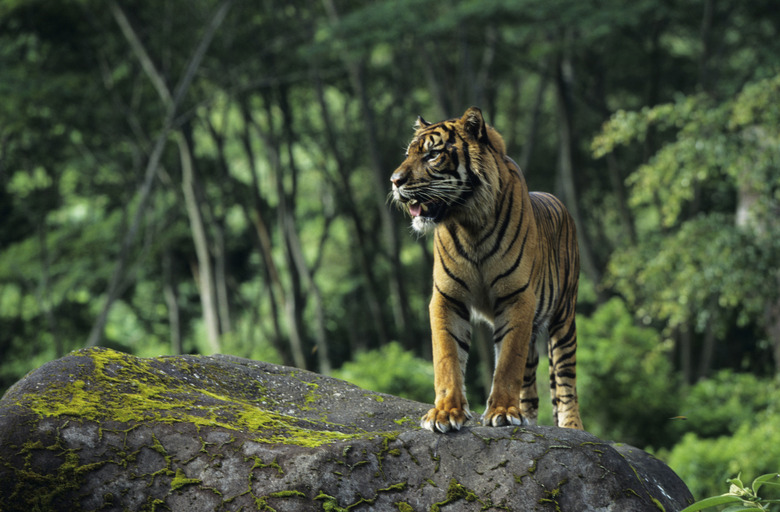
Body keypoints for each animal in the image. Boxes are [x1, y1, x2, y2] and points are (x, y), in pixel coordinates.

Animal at [390, 107, 584, 432]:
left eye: (432, 155)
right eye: (408, 154)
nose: (394, 180)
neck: (470, 223)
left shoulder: (517, 297)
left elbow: (507, 362)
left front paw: (503, 411)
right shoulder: (447, 297)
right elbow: (447, 356)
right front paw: (445, 412)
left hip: (564, 318)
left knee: (565, 379)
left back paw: (571, 426)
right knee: (531, 385)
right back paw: (527, 416)